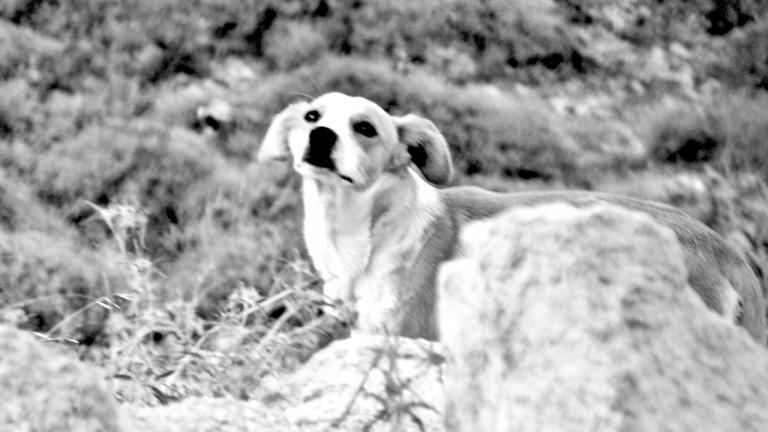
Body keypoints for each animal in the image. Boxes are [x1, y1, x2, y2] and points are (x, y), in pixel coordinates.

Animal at [257, 92, 767, 344]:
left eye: (365, 127)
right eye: (312, 116)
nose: (321, 136)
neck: (368, 231)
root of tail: (725, 249)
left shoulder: (408, 338)